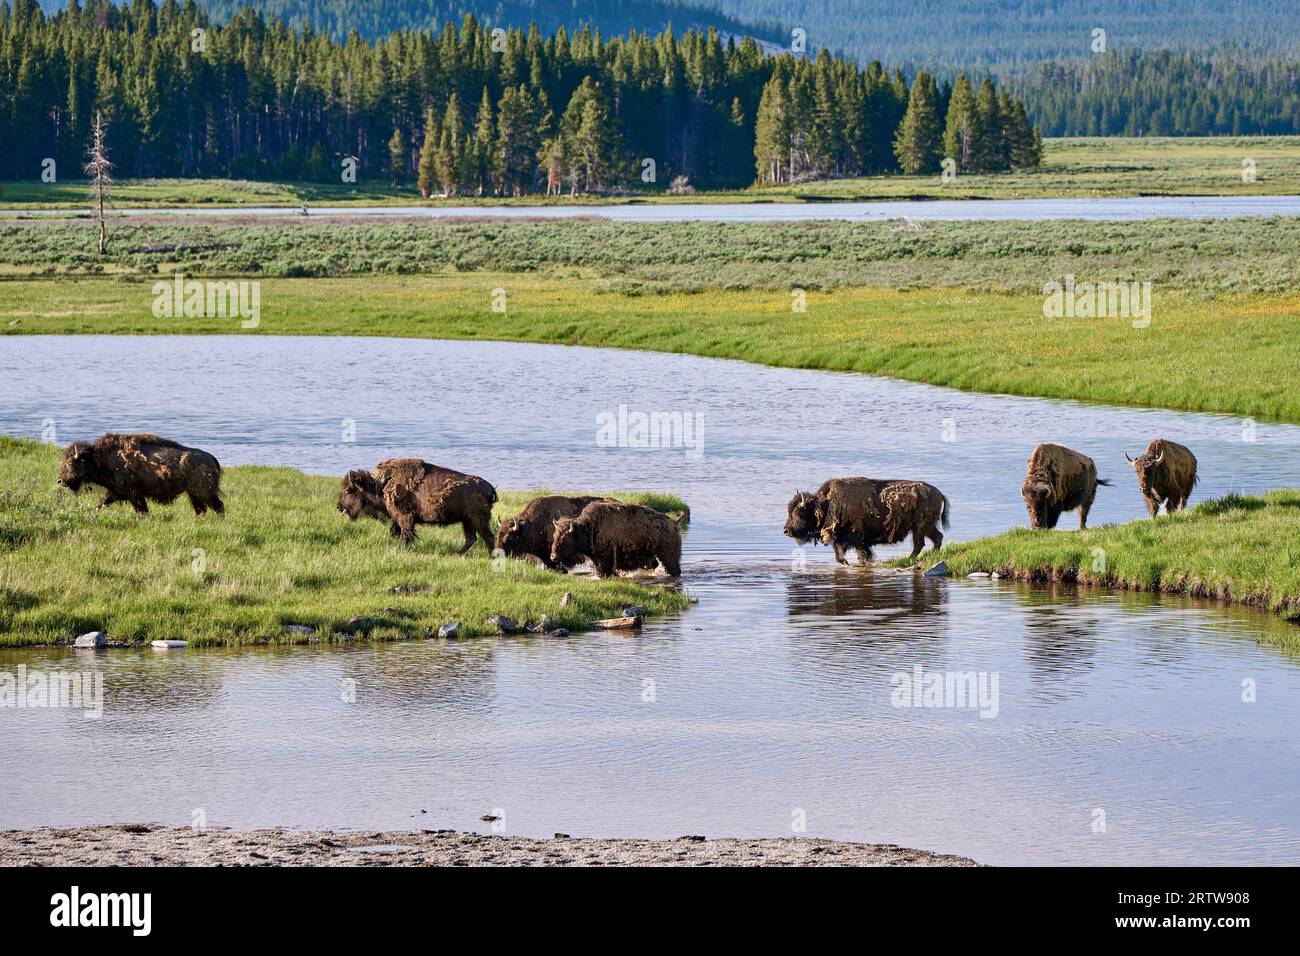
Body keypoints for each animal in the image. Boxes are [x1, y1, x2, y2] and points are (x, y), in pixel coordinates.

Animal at [57, 432, 224, 515]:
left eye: (70, 463)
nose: (60, 481)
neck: (98, 458)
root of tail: (211, 458)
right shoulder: (115, 492)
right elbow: (101, 503)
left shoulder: (134, 494)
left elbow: (142, 510)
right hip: (194, 495)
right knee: (201, 510)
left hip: (204, 493)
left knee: (219, 506)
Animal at [338, 457, 496, 551]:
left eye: (348, 490)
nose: (339, 506)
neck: (380, 487)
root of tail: (489, 487)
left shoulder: (405, 518)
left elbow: (406, 534)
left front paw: (403, 549)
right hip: (467, 521)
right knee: (472, 538)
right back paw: (459, 554)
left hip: (477, 520)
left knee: (487, 537)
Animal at [550, 500, 683, 577]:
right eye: (554, 536)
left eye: (565, 538)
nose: (553, 557)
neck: (587, 528)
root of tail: (674, 522)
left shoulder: (605, 560)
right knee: (654, 564)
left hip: (668, 556)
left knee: (673, 568)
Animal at [784, 477, 950, 564]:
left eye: (798, 512)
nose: (786, 530)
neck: (827, 504)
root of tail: (939, 492)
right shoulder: (854, 541)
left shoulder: (852, 539)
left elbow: (844, 554)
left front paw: (848, 563)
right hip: (924, 527)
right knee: (936, 538)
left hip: (920, 527)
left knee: (921, 543)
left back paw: (911, 559)